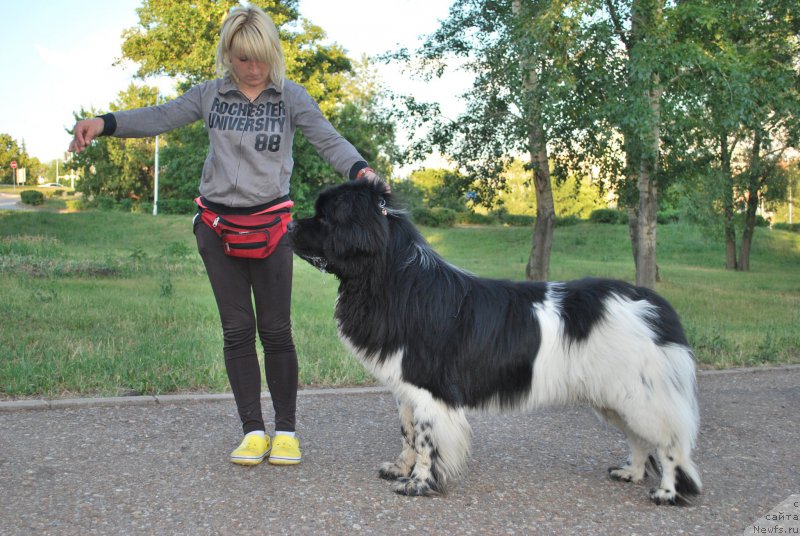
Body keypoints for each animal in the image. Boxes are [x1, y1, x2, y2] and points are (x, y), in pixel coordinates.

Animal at [288, 182, 700, 504]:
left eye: (323, 218)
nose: (289, 222)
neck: (394, 280)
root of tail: (655, 306)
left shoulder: (430, 390)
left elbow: (426, 440)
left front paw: (418, 484)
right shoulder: (405, 388)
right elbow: (407, 433)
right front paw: (399, 468)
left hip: (641, 395)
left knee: (670, 444)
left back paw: (666, 493)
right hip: (615, 397)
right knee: (640, 439)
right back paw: (631, 473)